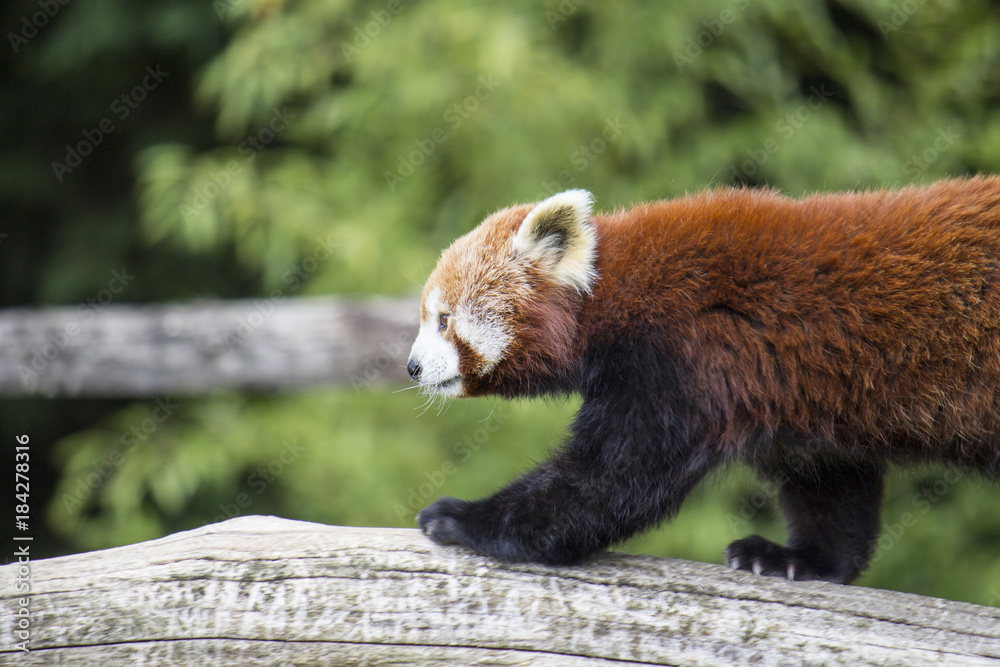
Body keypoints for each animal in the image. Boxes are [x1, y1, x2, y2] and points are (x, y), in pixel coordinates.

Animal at [406, 178, 1000, 583]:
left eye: (444, 320)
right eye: (425, 316)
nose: (411, 366)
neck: (614, 297)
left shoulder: (684, 357)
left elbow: (608, 480)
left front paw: (461, 518)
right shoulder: (795, 394)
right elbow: (829, 485)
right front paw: (802, 559)